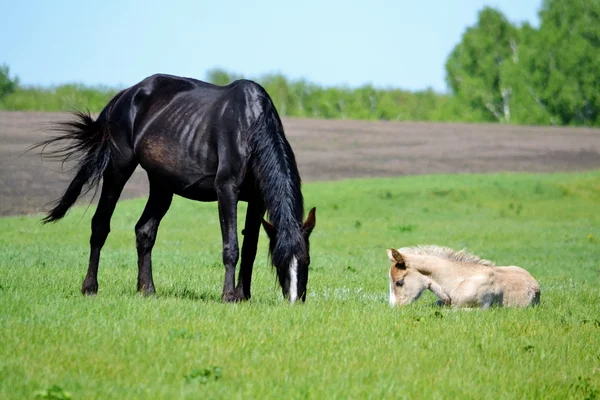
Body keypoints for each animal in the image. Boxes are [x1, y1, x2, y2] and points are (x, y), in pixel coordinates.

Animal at [30, 72, 316, 304]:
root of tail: (124, 95)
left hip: (161, 184)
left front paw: (243, 295)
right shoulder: (227, 190)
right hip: (117, 169)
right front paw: (228, 296)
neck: (250, 127)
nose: (294, 301)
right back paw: (90, 288)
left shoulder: (257, 199)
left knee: (144, 231)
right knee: (100, 224)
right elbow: (231, 246)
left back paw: (147, 290)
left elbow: (250, 248)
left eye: (306, 261)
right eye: (280, 262)